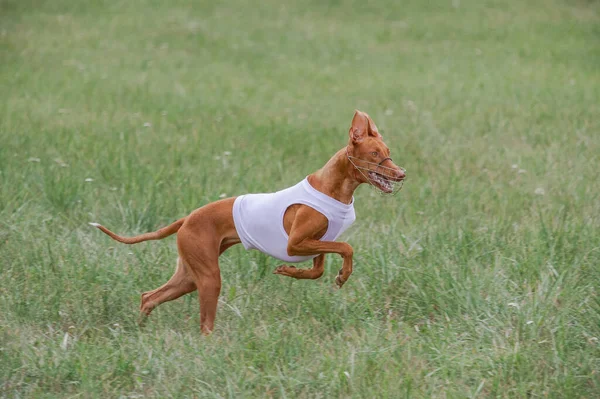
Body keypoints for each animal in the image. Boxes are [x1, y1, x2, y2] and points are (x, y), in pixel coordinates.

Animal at [90, 110, 404, 334]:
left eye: (389, 151)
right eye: (375, 154)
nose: (402, 173)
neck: (333, 188)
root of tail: (187, 218)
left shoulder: (316, 245)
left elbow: (318, 270)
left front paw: (291, 272)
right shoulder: (295, 243)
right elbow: (347, 247)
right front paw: (342, 274)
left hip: (189, 276)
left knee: (149, 296)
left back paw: (140, 327)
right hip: (208, 277)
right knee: (204, 325)